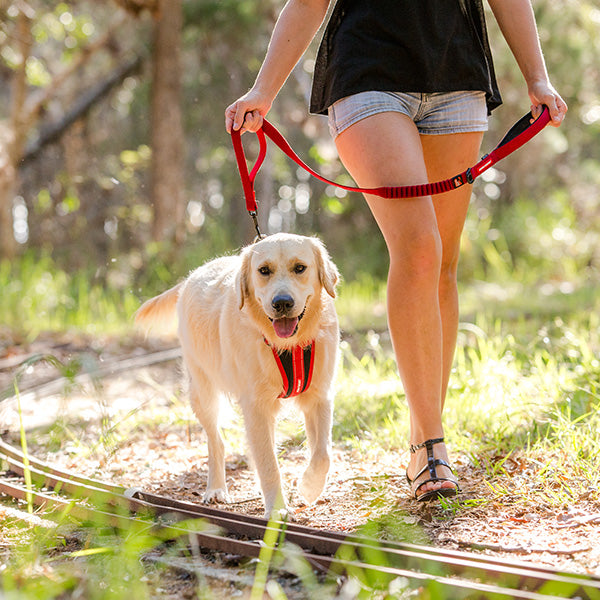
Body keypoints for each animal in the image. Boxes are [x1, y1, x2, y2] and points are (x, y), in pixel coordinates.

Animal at [138, 233, 340, 516]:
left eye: (300, 268)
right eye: (263, 271)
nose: (282, 303)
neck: (288, 346)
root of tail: (192, 276)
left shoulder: (319, 396)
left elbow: (322, 454)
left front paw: (310, 487)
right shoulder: (255, 406)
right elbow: (269, 464)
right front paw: (276, 510)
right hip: (202, 392)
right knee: (217, 442)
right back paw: (215, 489)